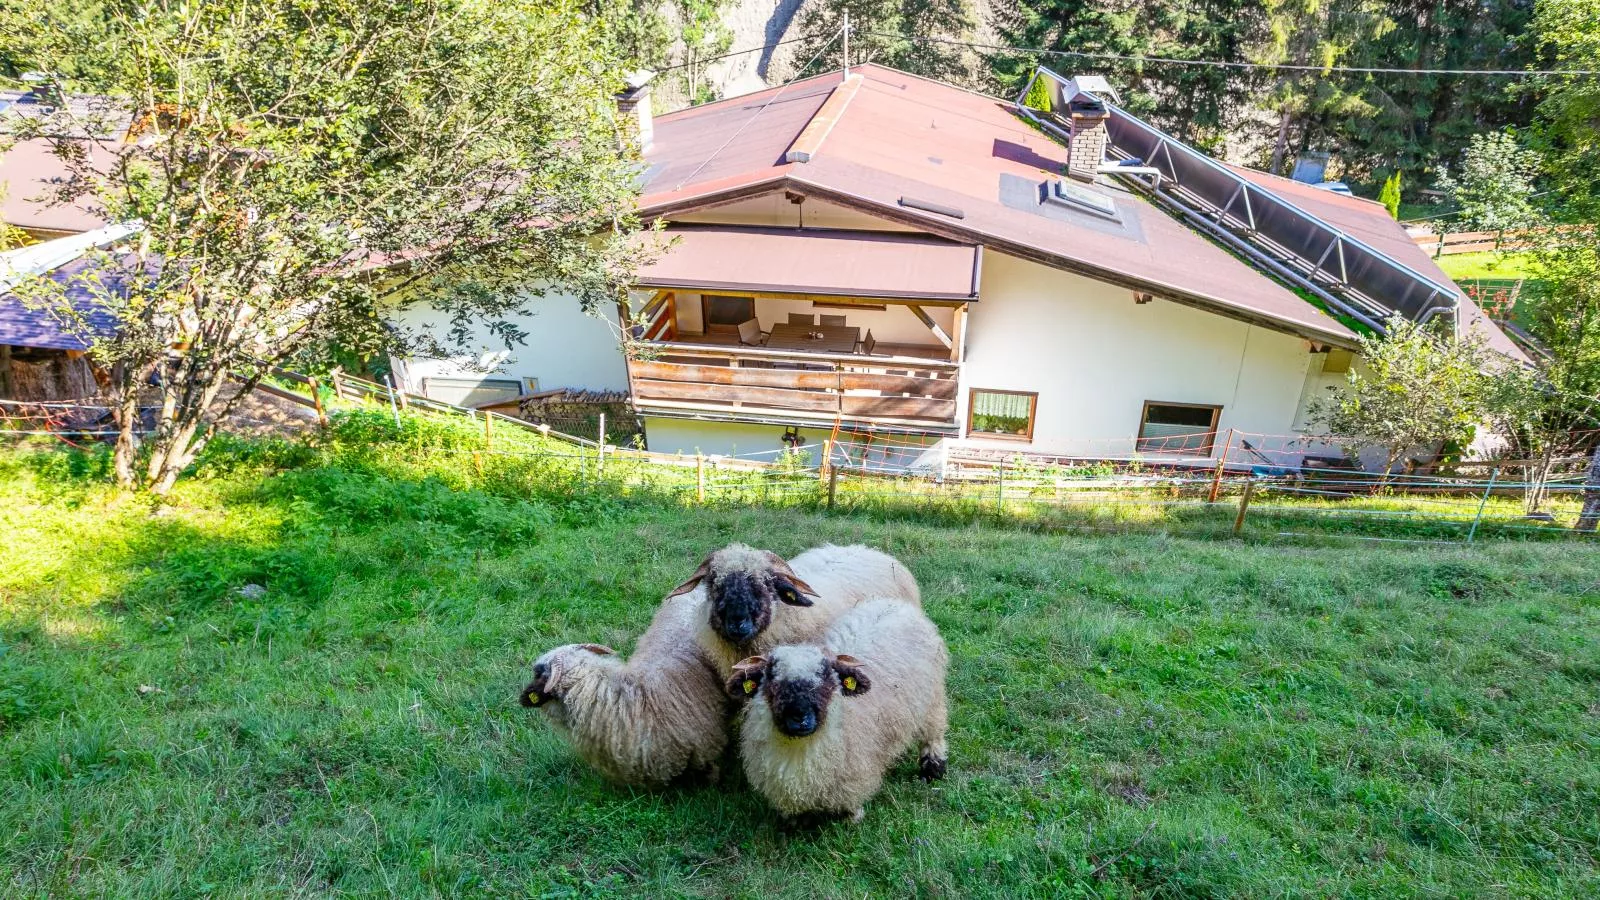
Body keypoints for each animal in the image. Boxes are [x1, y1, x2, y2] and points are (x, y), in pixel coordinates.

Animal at [726, 595, 947, 819]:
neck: (800, 750)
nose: (800, 716)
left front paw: (853, 817)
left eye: (826, 675)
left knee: (933, 734)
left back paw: (932, 768)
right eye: (771, 676)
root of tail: (894, 603)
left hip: (933, 701)